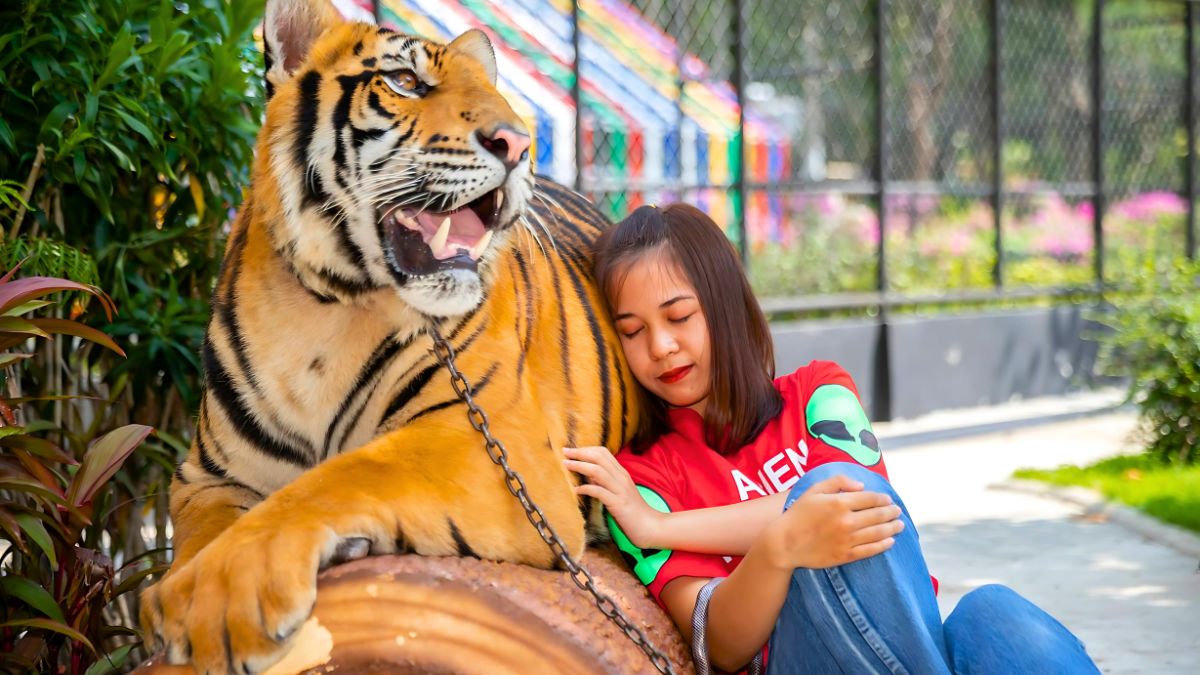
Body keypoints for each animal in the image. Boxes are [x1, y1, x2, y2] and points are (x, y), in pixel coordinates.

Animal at [141, 1, 643, 667]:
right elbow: (200, 537)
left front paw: (220, 593)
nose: (518, 143)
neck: (324, 309)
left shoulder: (485, 440)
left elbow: (340, 478)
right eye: (406, 81)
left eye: (494, 93)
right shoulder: (209, 477)